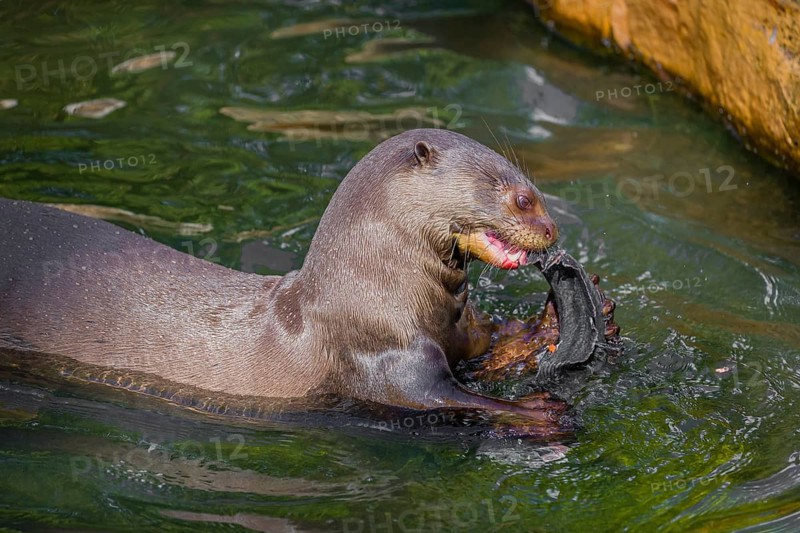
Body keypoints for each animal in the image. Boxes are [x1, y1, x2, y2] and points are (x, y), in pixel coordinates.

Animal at [0, 129, 615, 424]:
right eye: (521, 198)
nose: (552, 228)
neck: (377, 294)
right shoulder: (385, 359)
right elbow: (439, 397)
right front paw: (534, 413)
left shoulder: (454, 330)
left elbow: (485, 343)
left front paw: (545, 328)